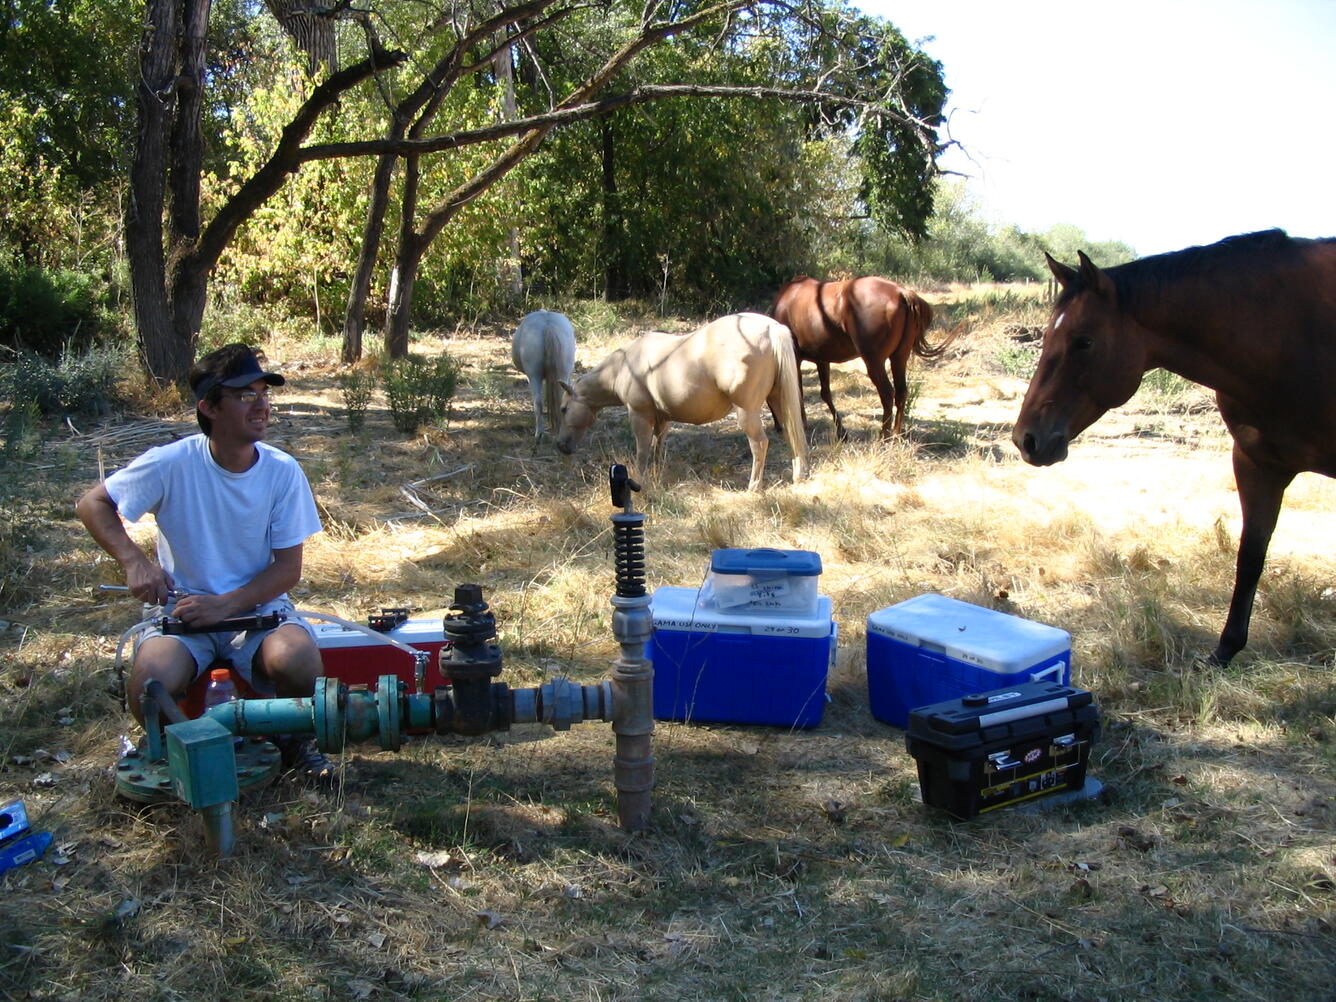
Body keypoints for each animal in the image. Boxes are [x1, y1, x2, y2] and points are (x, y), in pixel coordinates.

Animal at [555, 312, 808, 491]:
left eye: (564, 409)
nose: (561, 446)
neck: (625, 365)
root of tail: (772, 329)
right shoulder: (662, 417)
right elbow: (658, 445)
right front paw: (657, 473)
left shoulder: (639, 414)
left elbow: (642, 449)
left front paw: (639, 479)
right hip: (779, 401)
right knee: (791, 434)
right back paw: (798, 476)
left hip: (748, 411)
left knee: (759, 444)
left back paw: (753, 487)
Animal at [771, 275, 943, 440]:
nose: (777, 427)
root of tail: (902, 293)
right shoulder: (822, 359)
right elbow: (825, 393)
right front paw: (841, 432)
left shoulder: (796, 358)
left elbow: (798, 392)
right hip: (899, 357)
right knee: (901, 392)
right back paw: (896, 435)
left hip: (874, 361)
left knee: (887, 393)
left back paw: (884, 437)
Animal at [1012, 229, 1336, 665]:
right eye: (1046, 336)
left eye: (1084, 341)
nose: (1026, 439)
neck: (1290, 335)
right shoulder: (1256, 463)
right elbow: (1251, 555)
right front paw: (1223, 652)